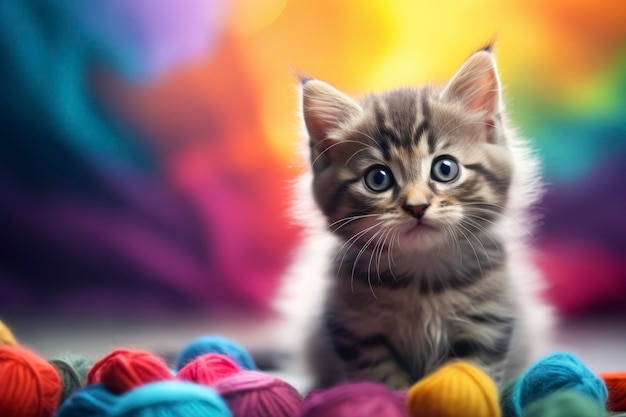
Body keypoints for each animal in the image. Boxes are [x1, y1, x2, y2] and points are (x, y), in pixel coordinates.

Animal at [280, 46, 552, 390]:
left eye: (445, 169)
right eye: (378, 178)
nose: (417, 206)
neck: (423, 283)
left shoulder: (488, 324)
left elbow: (471, 377)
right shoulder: (357, 332)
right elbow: (383, 382)